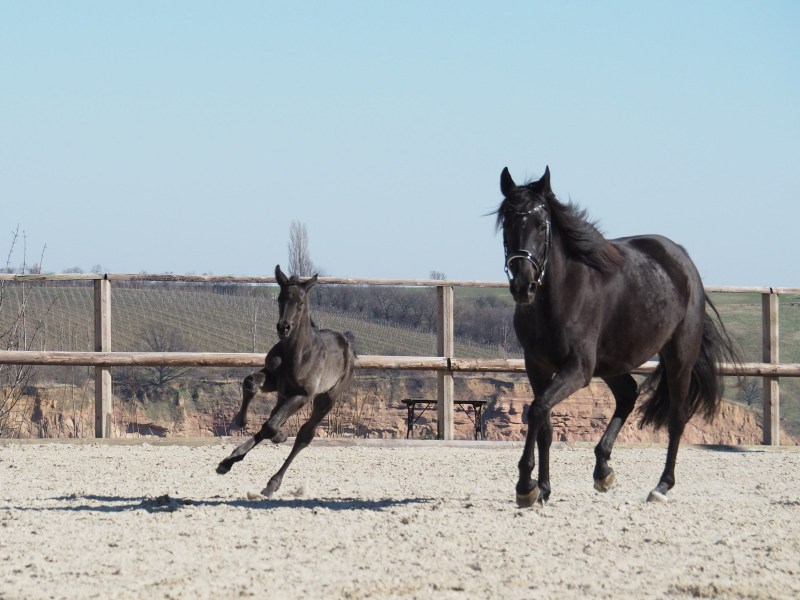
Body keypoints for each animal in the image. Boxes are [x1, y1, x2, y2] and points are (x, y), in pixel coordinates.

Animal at [496, 168, 740, 506]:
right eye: (507, 221)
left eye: (541, 223)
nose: (523, 285)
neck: (560, 295)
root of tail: (681, 259)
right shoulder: (537, 366)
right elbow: (543, 422)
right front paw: (542, 488)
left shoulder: (578, 370)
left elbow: (538, 409)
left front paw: (525, 486)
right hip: (612, 363)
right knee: (628, 393)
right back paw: (603, 470)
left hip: (679, 357)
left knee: (676, 417)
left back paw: (661, 486)